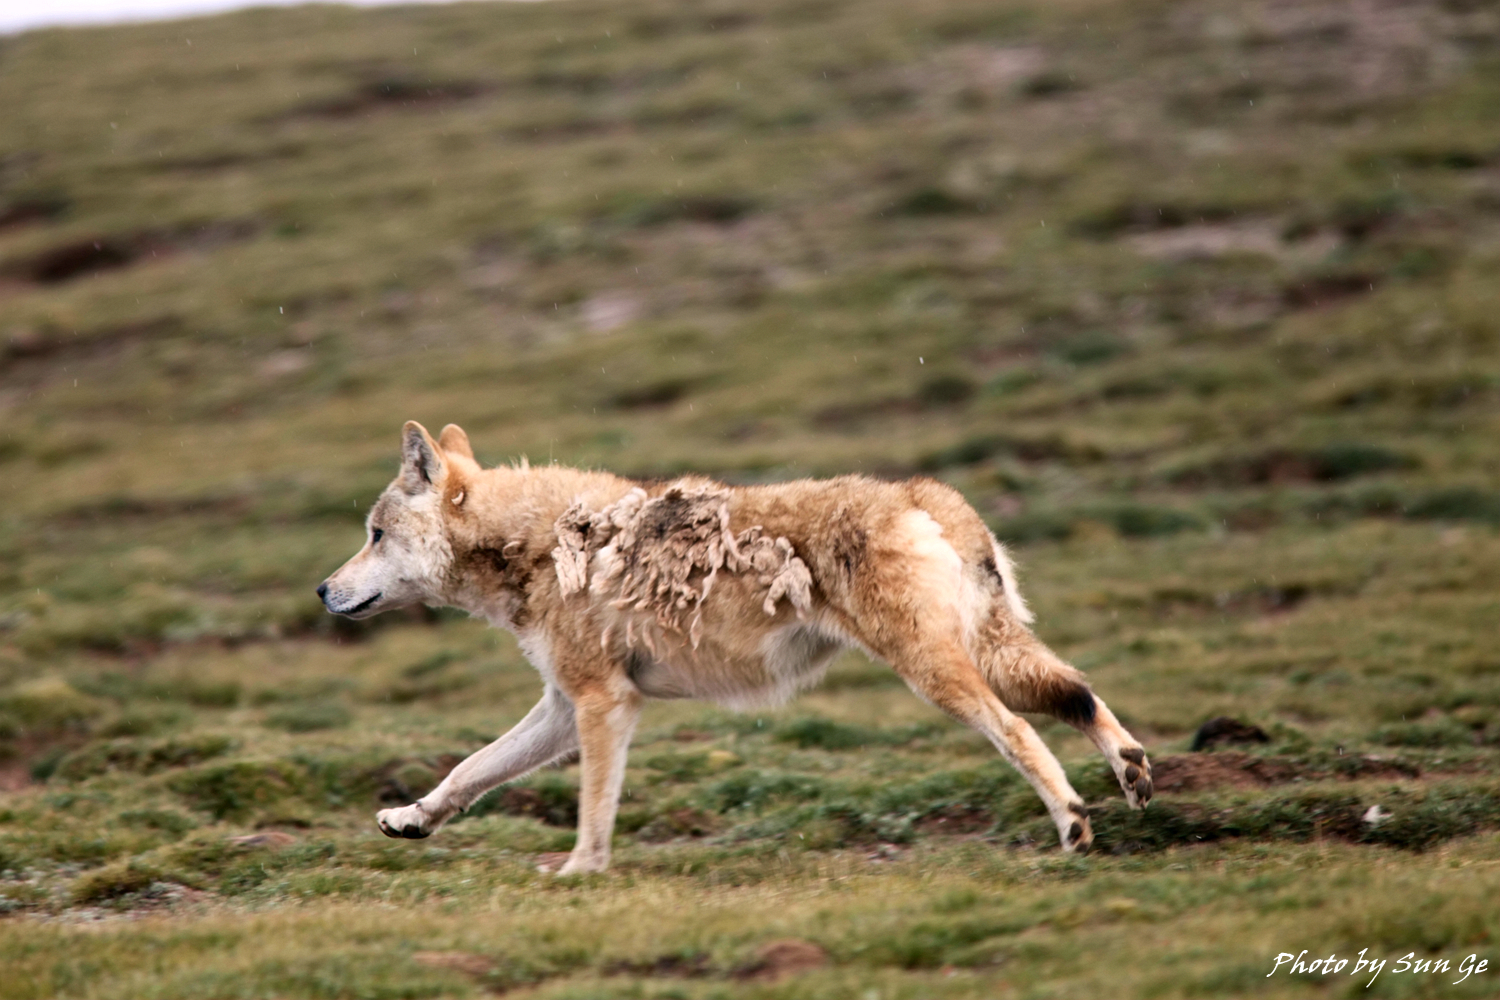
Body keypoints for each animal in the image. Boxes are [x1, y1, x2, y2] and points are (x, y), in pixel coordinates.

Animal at [318, 421, 1152, 874]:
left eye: (373, 534)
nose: (322, 590)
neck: (534, 542)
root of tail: (921, 492)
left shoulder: (603, 703)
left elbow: (594, 807)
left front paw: (581, 871)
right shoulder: (562, 706)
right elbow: (468, 771)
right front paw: (411, 819)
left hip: (938, 677)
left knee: (1019, 732)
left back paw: (1074, 826)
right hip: (992, 657)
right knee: (1080, 697)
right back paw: (1133, 775)